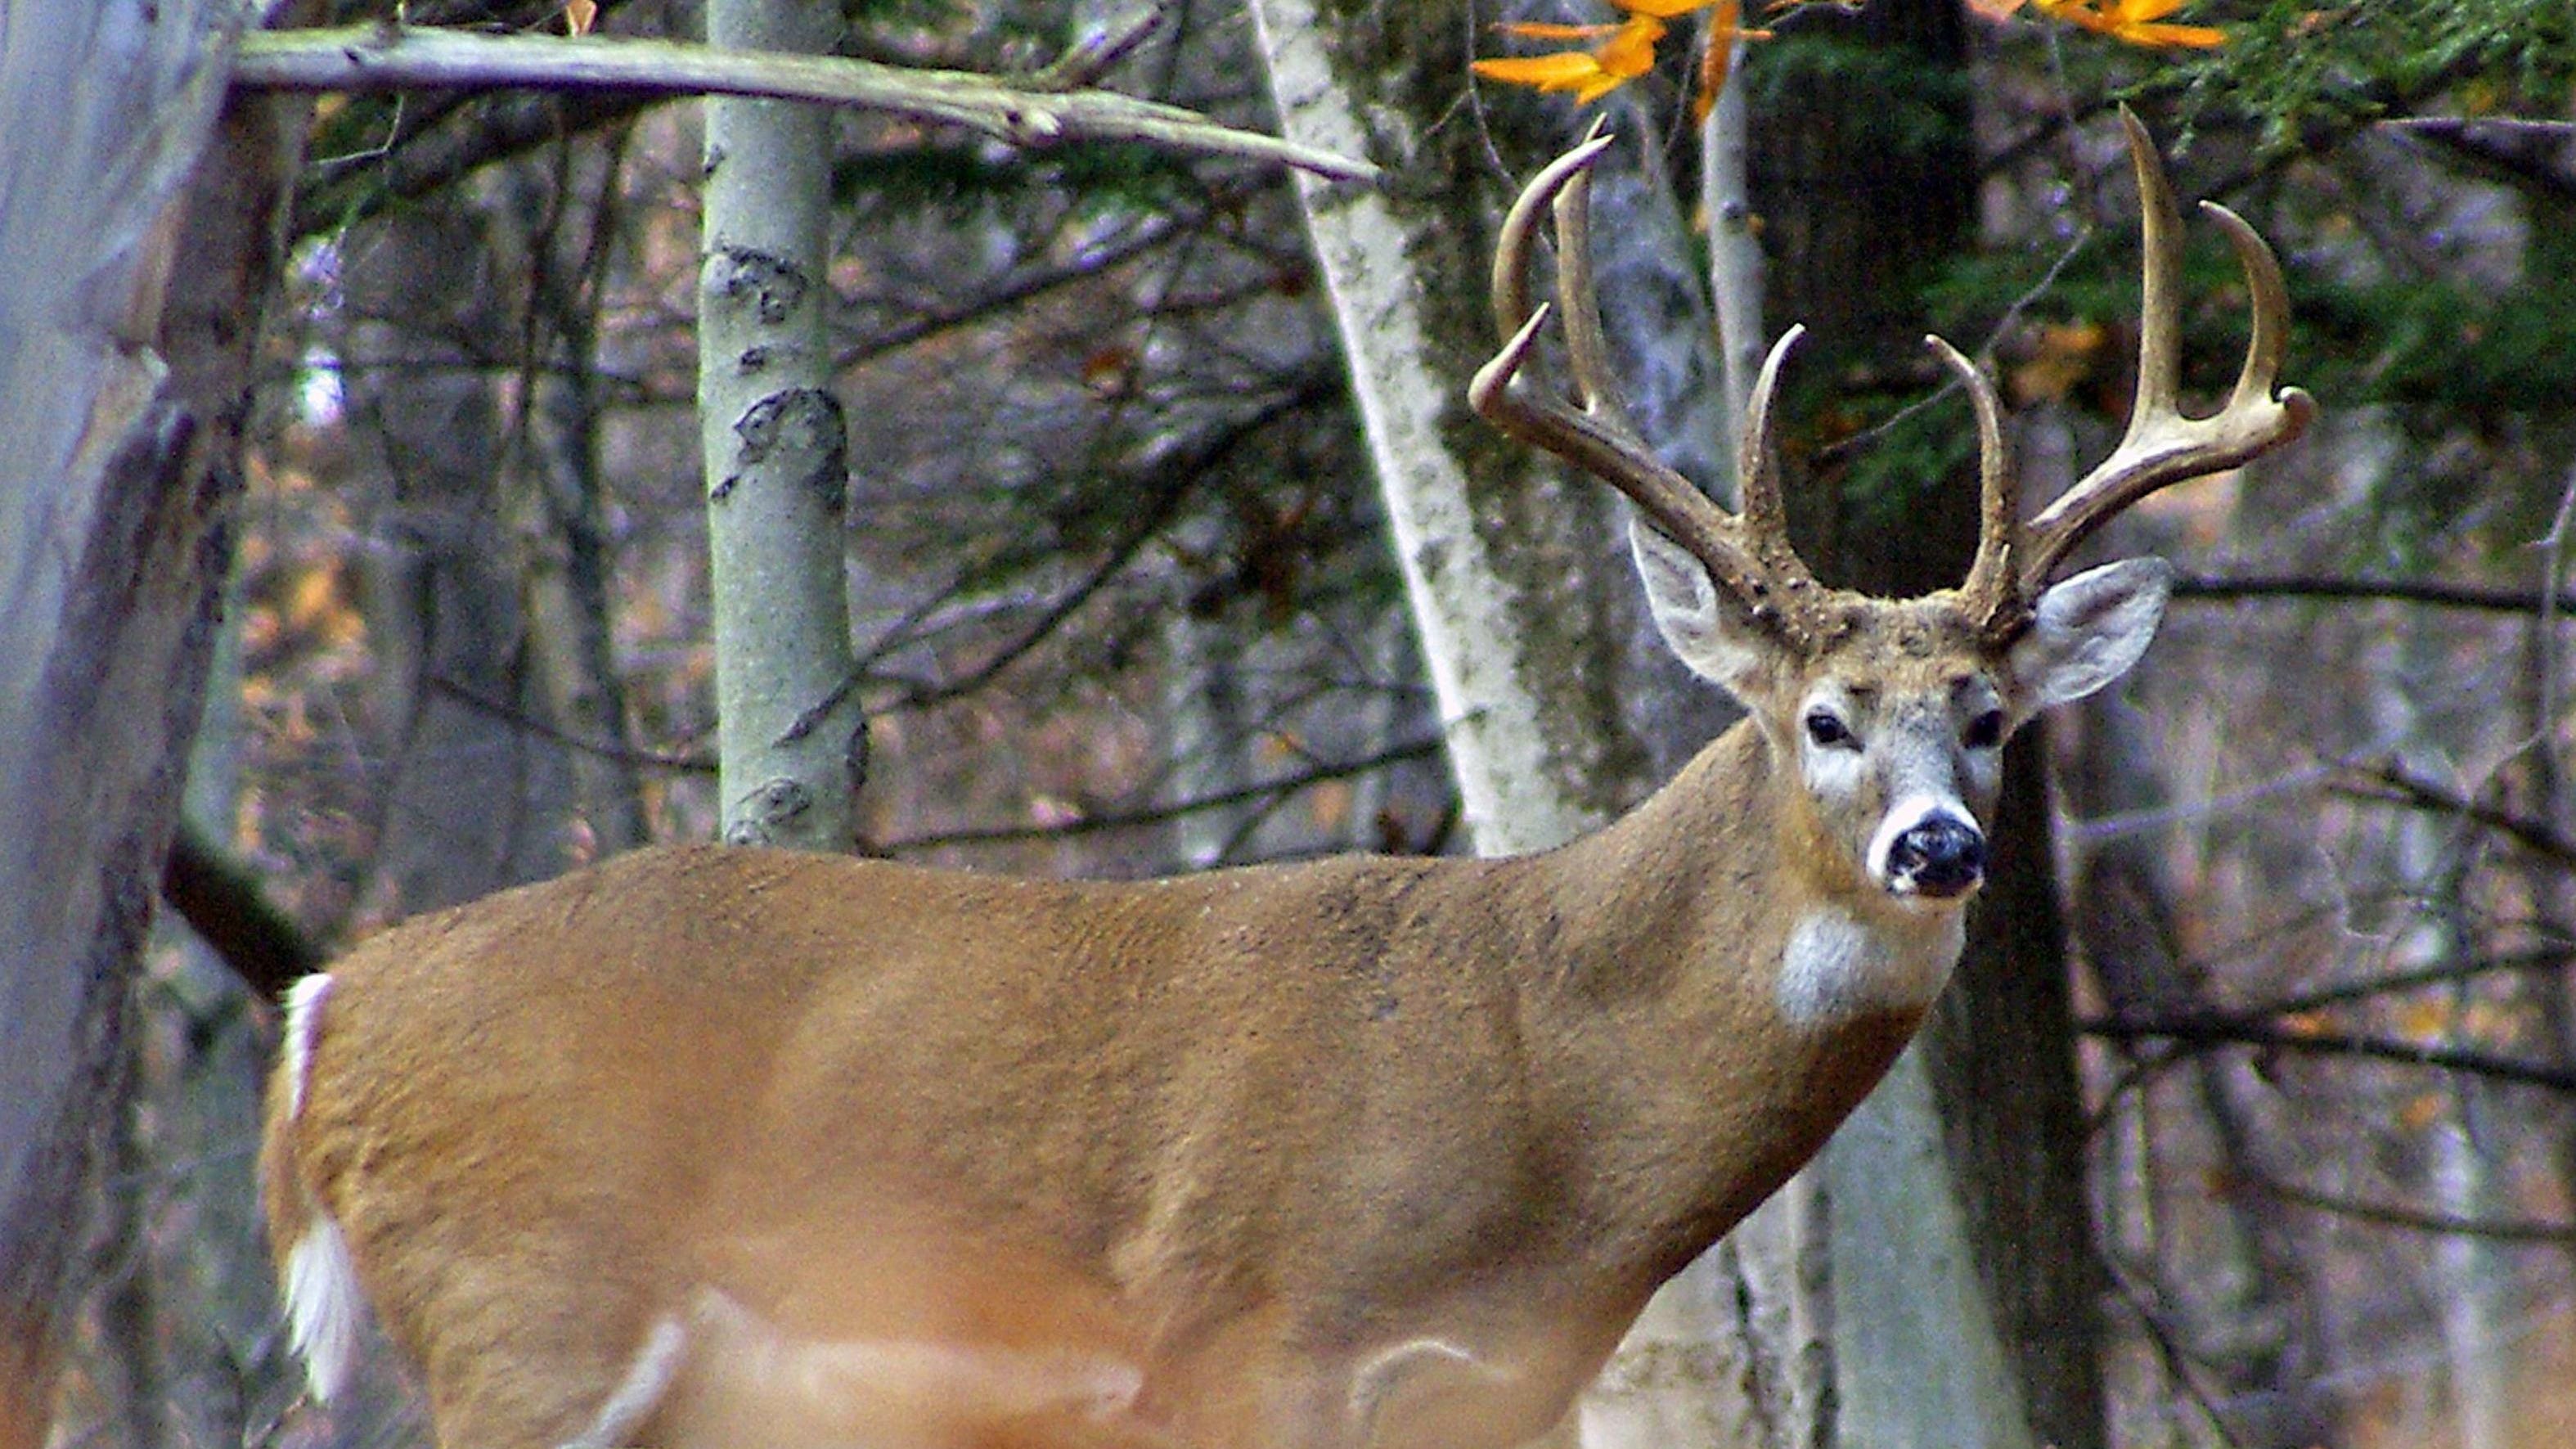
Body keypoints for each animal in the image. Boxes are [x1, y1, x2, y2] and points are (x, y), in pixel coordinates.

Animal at [260, 111, 2310, 1449]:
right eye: (1819, 718)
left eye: (1987, 717)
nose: (1938, 844)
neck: (1554, 1113)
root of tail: (331, 999)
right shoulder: (1247, 1339)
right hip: (528, 1298)